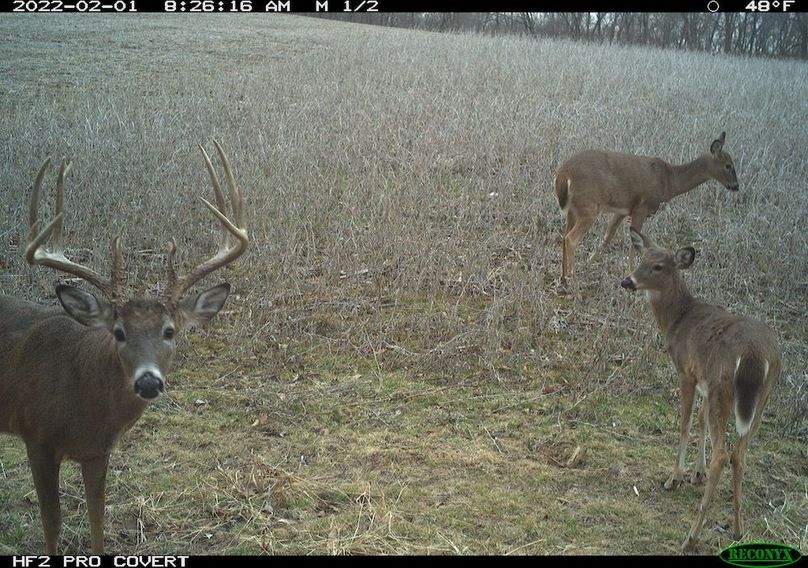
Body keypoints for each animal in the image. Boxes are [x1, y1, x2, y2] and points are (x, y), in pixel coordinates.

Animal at [0, 141, 248, 554]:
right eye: (118, 332)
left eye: (169, 331)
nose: (148, 382)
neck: (82, 403)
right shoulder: (37, 438)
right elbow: (52, 523)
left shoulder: (99, 451)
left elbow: (97, 518)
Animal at [554, 132, 739, 283]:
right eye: (728, 165)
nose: (736, 186)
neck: (669, 182)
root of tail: (563, 175)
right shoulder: (641, 207)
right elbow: (634, 242)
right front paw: (630, 274)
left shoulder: (624, 209)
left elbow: (608, 235)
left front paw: (590, 261)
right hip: (588, 207)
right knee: (571, 239)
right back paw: (574, 284)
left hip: (573, 210)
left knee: (564, 235)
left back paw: (563, 276)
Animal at [620, 228, 780, 552]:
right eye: (641, 259)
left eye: (659, 266)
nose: (627, 281)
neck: (677, 320)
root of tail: (755, 355)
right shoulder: (705, 382)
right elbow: (701, 420)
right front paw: (697, 473)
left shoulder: (687, 372)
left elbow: (684, 423)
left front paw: (676, 477)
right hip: (760, 397)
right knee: (739, 453)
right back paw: (738, 529)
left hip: (724, 386)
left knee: (724, 454)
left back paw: (692, 536)